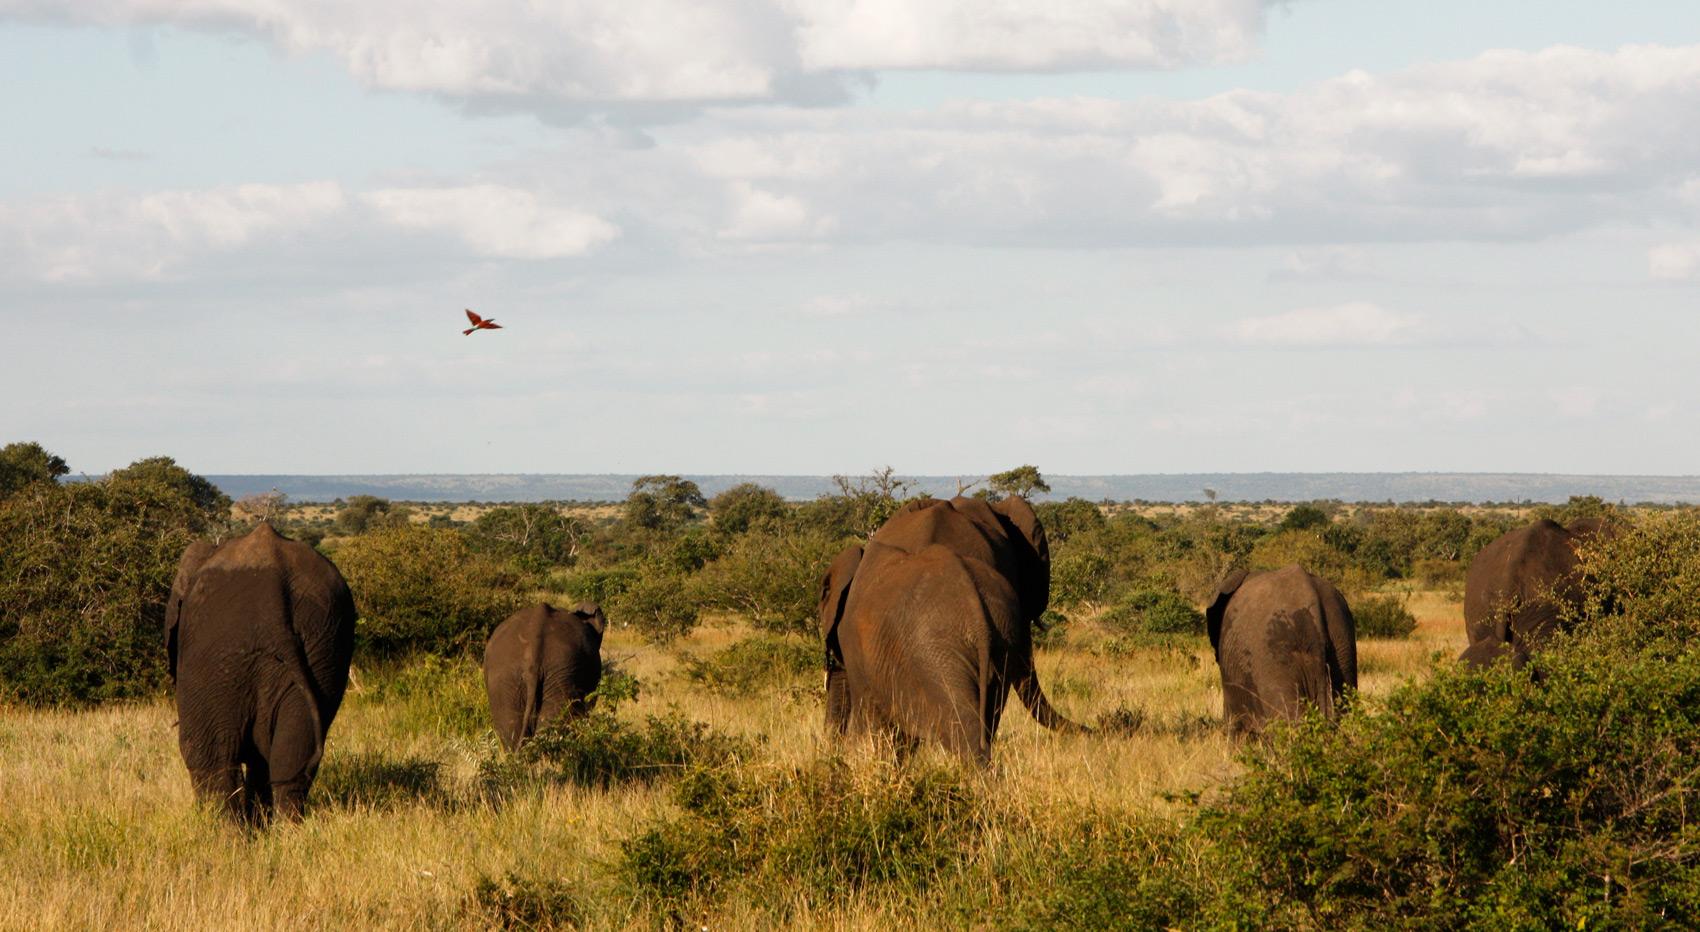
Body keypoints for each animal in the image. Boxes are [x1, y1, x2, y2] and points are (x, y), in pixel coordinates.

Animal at [168, 523, 356, 823]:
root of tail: (273, 599)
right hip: (325, 644)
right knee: (289, 760)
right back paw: (287, 832)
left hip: (219, 656)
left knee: (209, 756)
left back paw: (224, 834)